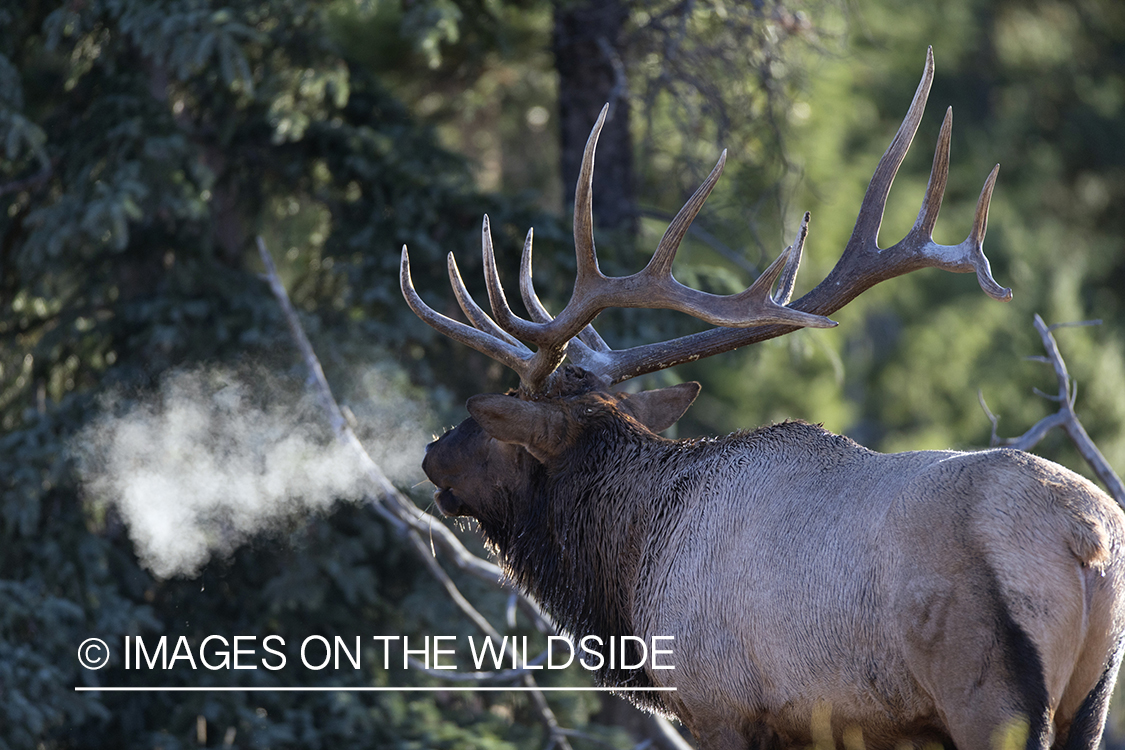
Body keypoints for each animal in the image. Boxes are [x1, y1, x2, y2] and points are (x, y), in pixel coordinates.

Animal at [398, 49, 1125, 746]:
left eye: (498, 424)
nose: (432, 452)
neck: (630, 574)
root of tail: (1086, 537)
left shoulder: (720, 703)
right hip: (1090, 699)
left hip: (987, 691)